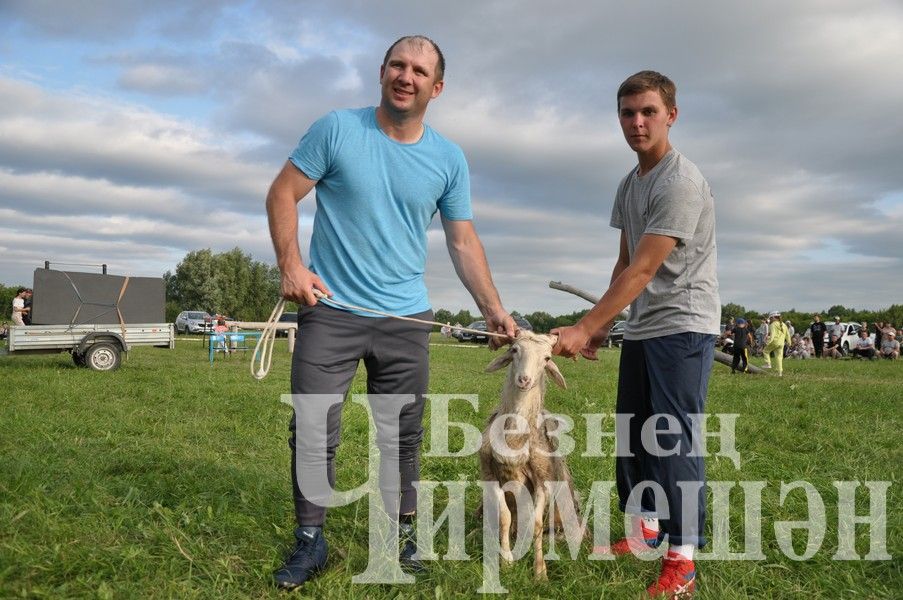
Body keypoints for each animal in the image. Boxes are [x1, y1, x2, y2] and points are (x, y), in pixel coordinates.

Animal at [480, 330, 588, 580]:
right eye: (514, 350)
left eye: (547, 358)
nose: (524, 380)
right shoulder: (490, 475)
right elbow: (505, 517)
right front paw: (507, 561)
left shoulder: (543, 481)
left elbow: (537, 523)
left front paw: (540, 572)